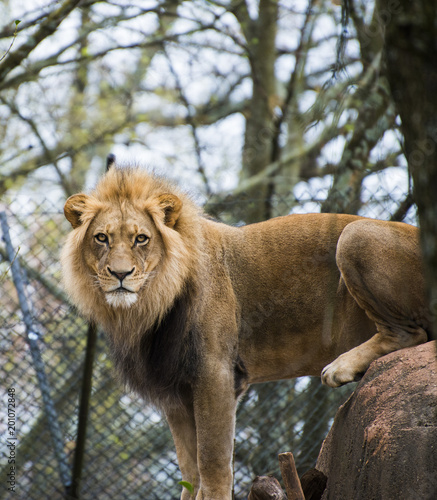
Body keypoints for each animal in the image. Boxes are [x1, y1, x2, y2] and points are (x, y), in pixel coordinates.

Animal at [61, 162, 430, 498]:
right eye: (101, 238)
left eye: (141, 239)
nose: (120, 274)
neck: (148, 307)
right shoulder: (175, 392)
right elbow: (189, 472)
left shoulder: (215, 373)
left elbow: (212, 465)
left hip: (355, 235)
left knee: (410, 333)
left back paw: (341, 367)